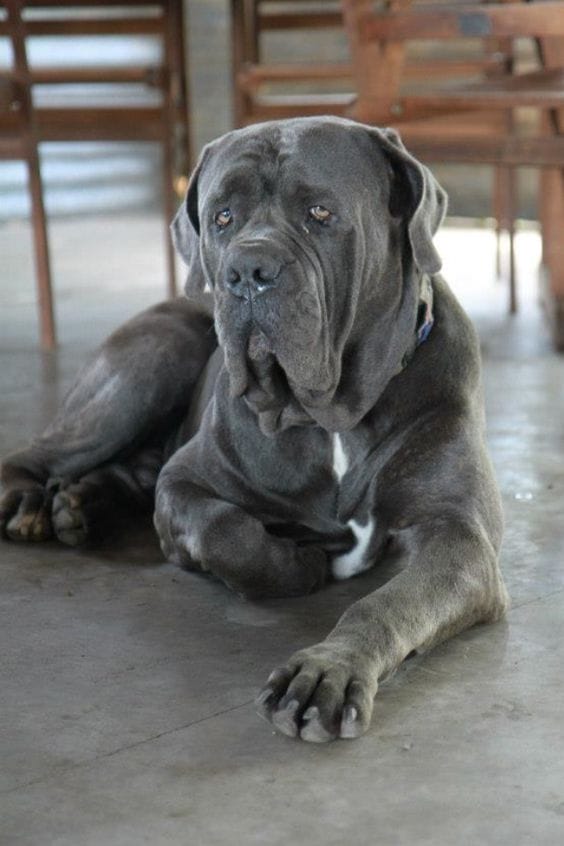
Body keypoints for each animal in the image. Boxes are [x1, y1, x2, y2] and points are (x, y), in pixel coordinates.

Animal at [0, 117, 508, 744]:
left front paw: (328, 671)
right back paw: (32, 502)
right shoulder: (187, 480)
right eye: (222, 216)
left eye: (320, 211)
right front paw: (297, 563)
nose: (247, 271)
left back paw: (81, 505)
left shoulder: (458, 537)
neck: (331, 418)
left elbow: (386, 604)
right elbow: (226, 532)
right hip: (149, 362)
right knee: (43, 452)